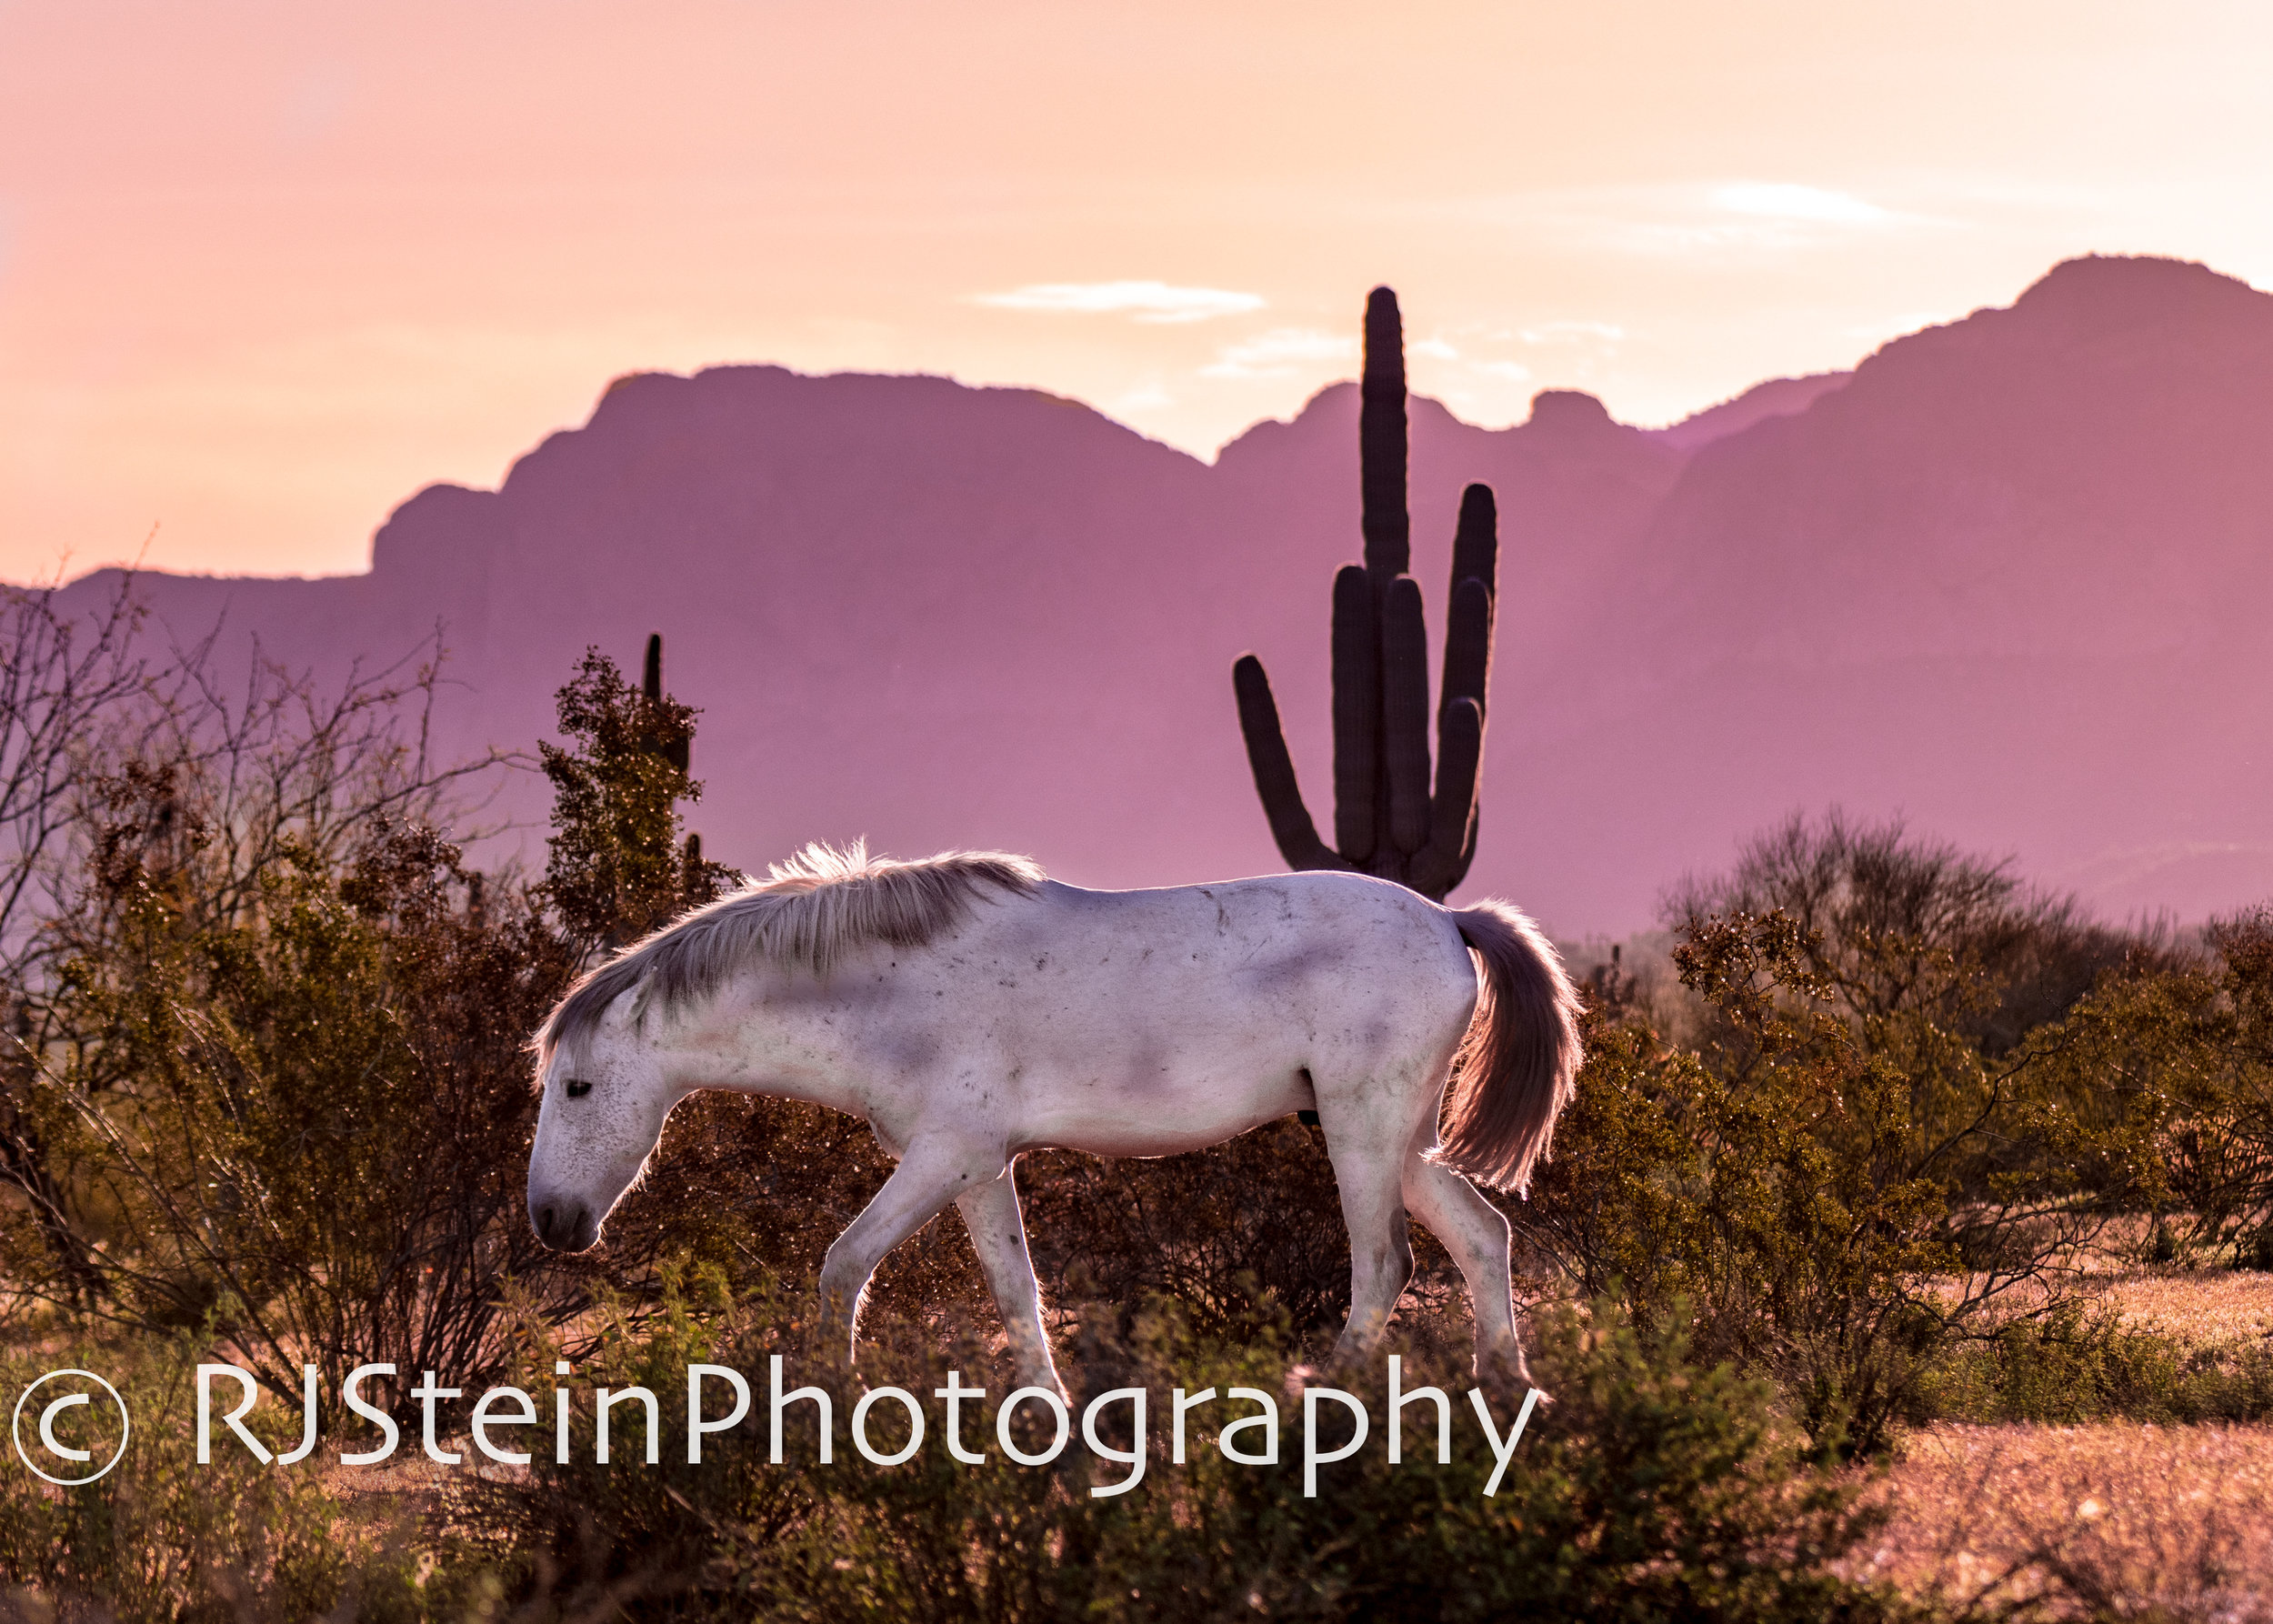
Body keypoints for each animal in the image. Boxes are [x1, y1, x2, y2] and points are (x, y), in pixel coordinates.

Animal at [527, 837, 1582, 1391]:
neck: (888, 993)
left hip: (1365, 1133)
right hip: (1395, 1139)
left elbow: (843, 1265)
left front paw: (833, 1402)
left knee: (1385, 1263)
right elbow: (1015, 1293)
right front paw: (1048, 1422)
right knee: (1480, 1237)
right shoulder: (979, 1167)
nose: (550, 1222)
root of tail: (1450, 920)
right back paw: (1509, 1394)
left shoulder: (943, 1157)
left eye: (576, 1087)